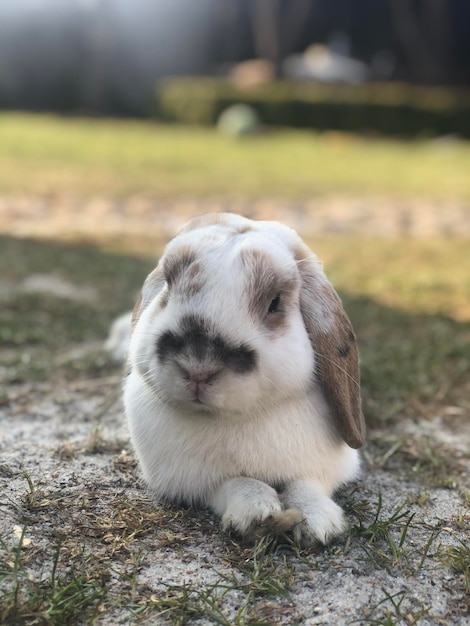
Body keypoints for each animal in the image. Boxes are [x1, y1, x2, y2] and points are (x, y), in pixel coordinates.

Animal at [123, 212, 366, 544]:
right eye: (169, 285)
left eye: (275, 302)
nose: (198, 369)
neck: (236, 416)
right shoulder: (197, 480)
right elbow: (235, 483)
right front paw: (257, 514)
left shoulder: (321, 468)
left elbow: (306, 484)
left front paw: (318, 524)